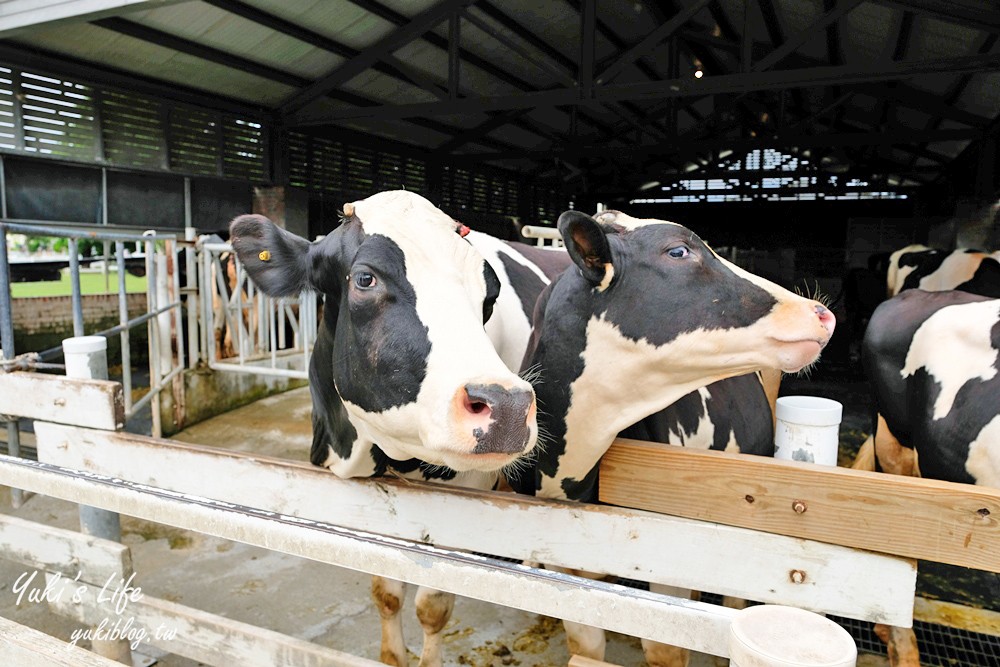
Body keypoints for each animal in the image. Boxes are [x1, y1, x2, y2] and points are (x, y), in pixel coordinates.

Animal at [229, 188, 572, 667]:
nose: (507, 405)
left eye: (490, 295)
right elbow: (385, 591)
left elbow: (432, 605)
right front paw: (392, 652)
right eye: (365, 279)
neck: (382, 454)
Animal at [516, 209, 836, 667]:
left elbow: (665, 649)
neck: (568, 477)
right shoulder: (558, 563)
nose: (821, 313)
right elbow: (586, 646)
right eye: (678, 251)